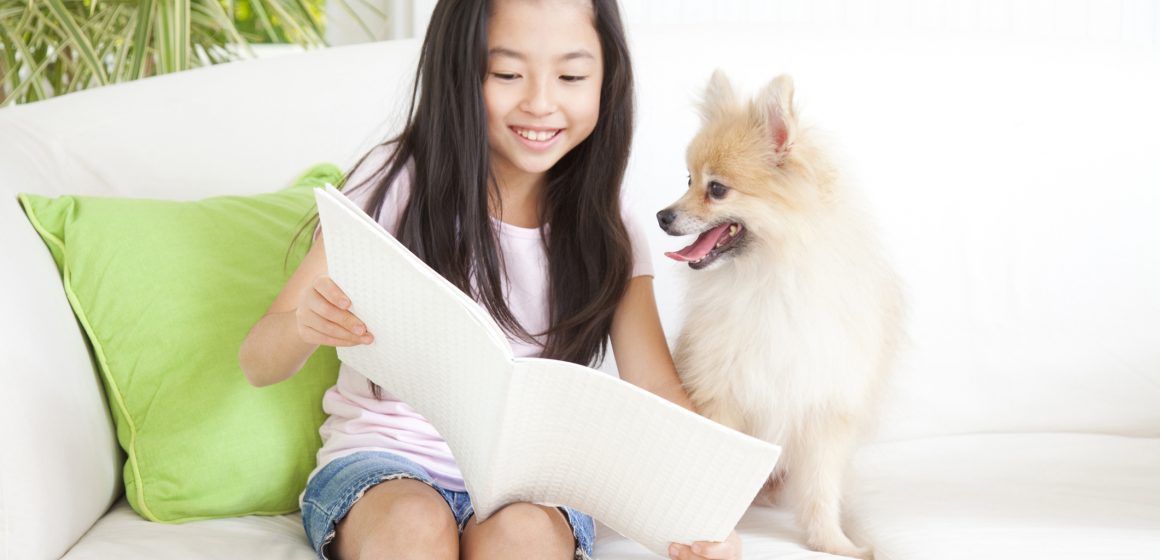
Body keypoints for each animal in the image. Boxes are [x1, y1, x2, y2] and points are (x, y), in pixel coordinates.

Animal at [658, 72, 900, 558]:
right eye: (688, 178)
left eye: (716, 189)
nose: (661, 215)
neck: (768, 280)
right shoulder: (721, 396)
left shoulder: (825, 406)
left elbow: (821, 487)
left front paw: (833, 543)